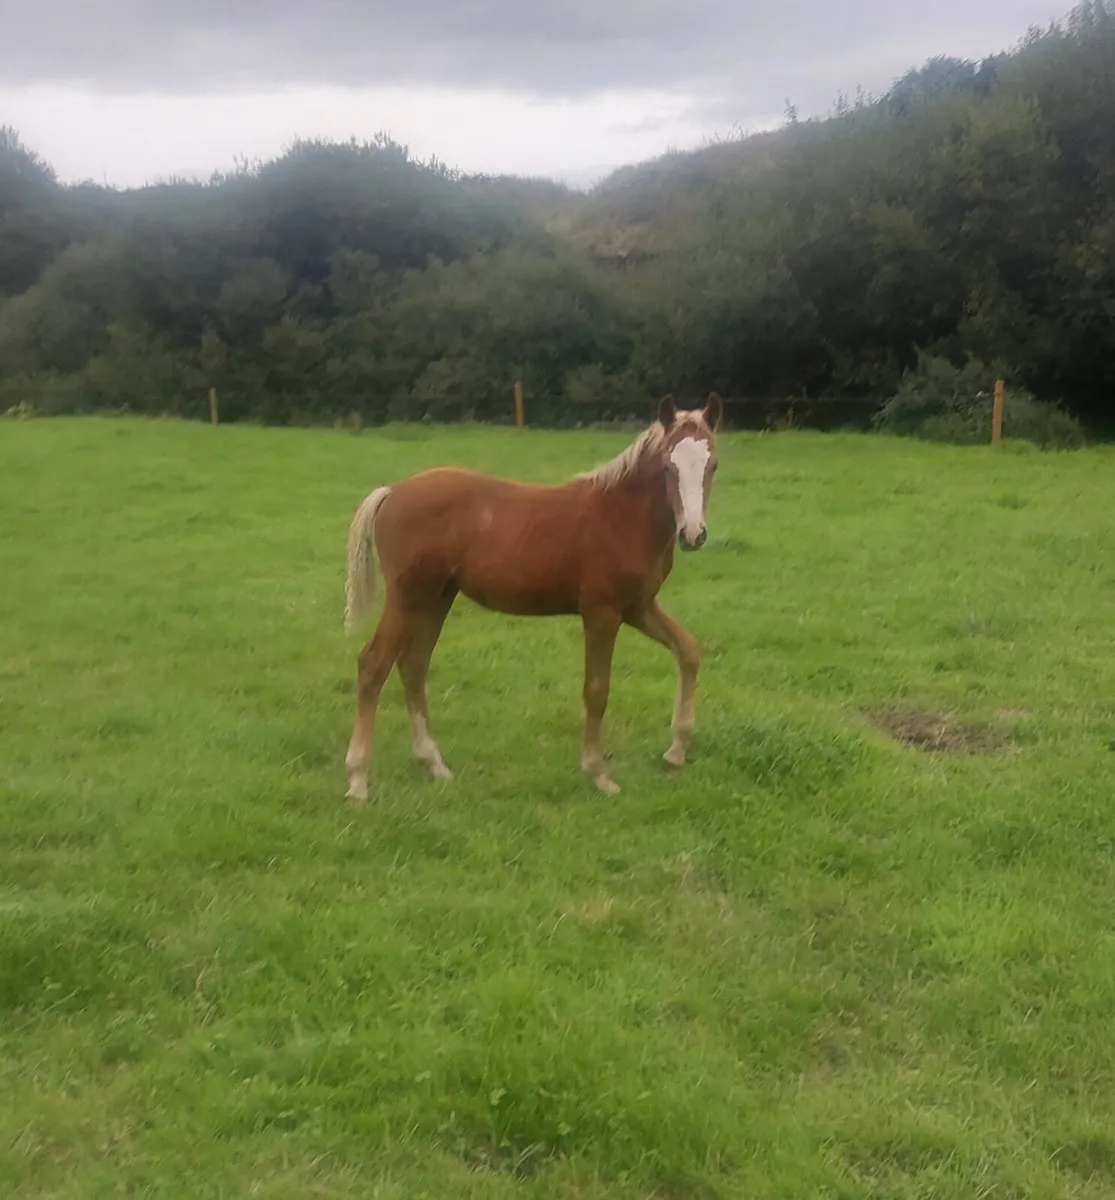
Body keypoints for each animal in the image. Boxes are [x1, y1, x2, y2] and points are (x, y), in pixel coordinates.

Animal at [342, 392, 722, 801]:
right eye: (669, 466)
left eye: (713, 465)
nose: (693, 534)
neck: (622, 515)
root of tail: (393, 492)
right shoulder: (602, 612)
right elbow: (597, 689)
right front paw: (598, 774)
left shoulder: (638, 606)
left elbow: (688, 651)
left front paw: (676, 752)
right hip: (407, 596)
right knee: (373, 665)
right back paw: (358, 780)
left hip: (436, 598)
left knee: (413, 666)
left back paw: (434, 765)